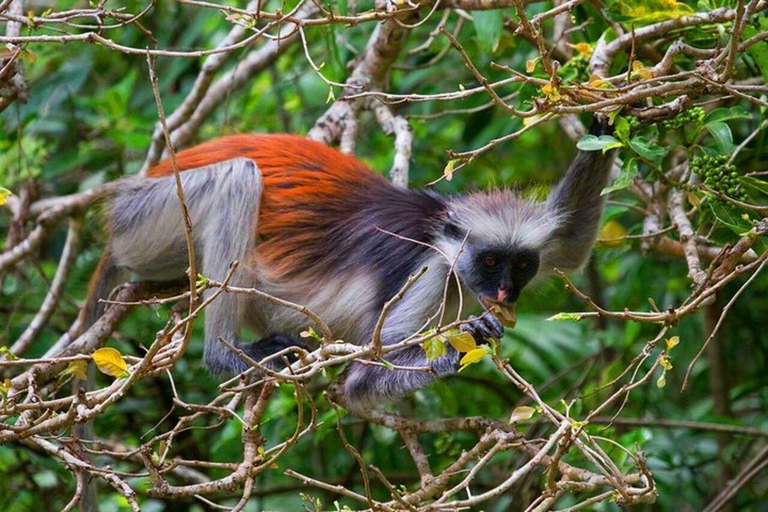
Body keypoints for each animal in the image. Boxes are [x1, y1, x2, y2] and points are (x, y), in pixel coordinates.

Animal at [84, 119, 616, 404]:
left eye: (521, 265)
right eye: (489, 262)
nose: (506, 290)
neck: (439, 234)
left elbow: (569, 245)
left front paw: (608, 120)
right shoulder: (427, 273)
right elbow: (361, 382)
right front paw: (467, 342)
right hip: (145, 219)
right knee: (237, 176)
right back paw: (227, 354)